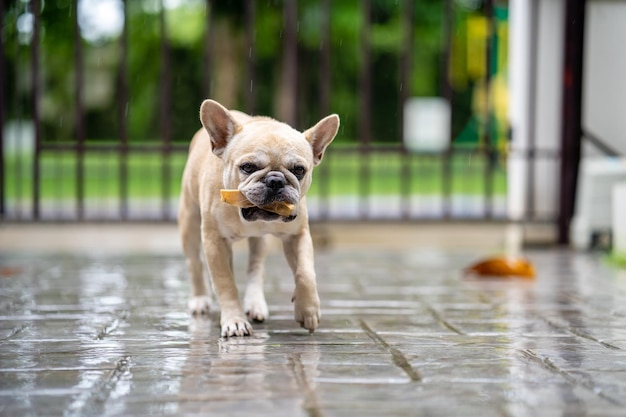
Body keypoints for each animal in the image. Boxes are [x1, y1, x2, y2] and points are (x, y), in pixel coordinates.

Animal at [177, 99, 336, 336]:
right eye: (248, 167)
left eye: (299, 170)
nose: (276, 180)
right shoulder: (214, 242)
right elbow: (225, 282)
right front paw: (234, 321)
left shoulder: (297, 236)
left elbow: (305, 273)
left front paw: (308, 310)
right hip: (190, 223)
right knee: (194, 263)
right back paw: (199, 299)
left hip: (260, 242)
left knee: (255, 267)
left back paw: (255, 304)